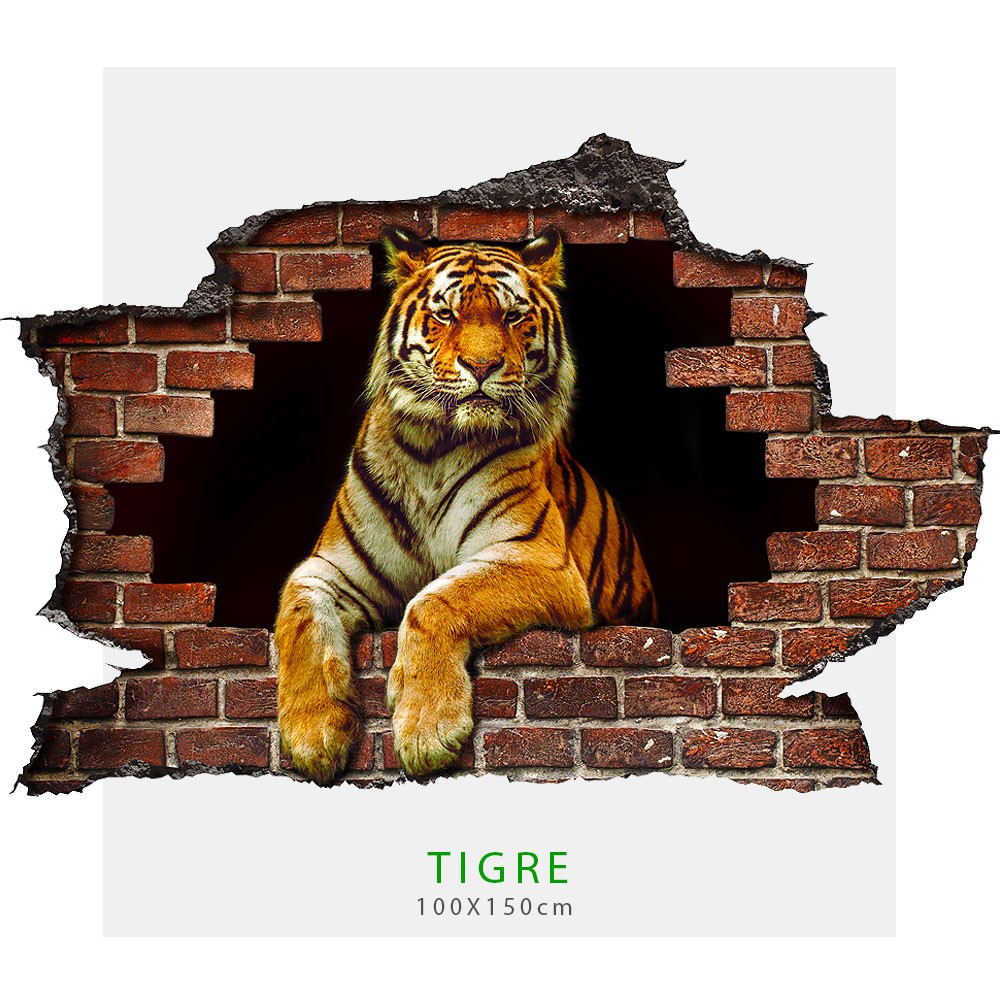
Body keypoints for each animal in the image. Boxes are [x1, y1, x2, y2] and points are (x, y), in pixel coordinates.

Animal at [275, 225, 657, 782]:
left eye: (512, 316)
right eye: (446, 314)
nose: (481, 365)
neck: (433, 449)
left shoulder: (537, 558)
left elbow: (434, 600)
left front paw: (426, 730)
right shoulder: (333, 567)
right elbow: (301, 615)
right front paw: (312, 735)